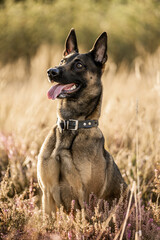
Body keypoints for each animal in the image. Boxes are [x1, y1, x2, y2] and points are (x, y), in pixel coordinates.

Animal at [37, 29, 127, 215]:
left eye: (79, 65)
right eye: (62, 61)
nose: (51, 72)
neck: (70, 124)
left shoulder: (85, 197)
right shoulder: (47, 194)